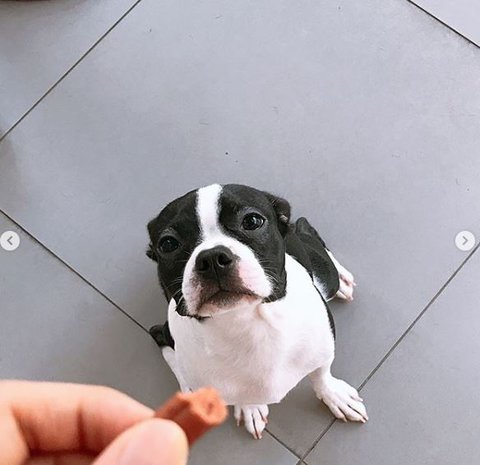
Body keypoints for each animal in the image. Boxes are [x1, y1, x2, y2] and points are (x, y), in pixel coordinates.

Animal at [147, 184, 367, 439]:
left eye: (252, 221)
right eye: (168, 244)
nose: (212, 257)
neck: (245, 321)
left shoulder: (322, 346)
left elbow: (322, 374)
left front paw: (335, 395)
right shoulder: (165, 334)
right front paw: (249, 407)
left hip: (324, 274)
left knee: (307, 231)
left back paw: (342, 278)